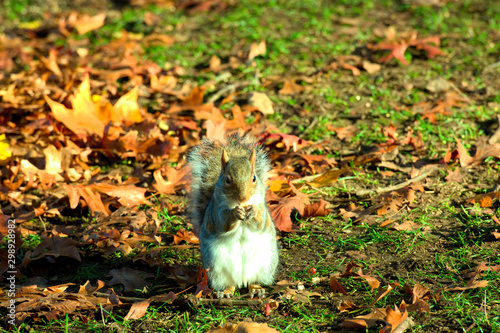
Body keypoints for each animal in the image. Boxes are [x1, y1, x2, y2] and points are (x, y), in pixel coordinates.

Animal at [188, 131, 280, 296]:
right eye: (227, 179)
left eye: (254, 178)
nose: (243, 198)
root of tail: (242, 280)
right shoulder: (216, 211)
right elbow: (222, 224)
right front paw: (235, 213)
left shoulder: (262, 207)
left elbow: (260, 223)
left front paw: (252, 211)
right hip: (216, 270)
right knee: (228, 284)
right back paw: (226, 292)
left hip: (266, 264)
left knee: (254, 281)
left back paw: (256, 289)